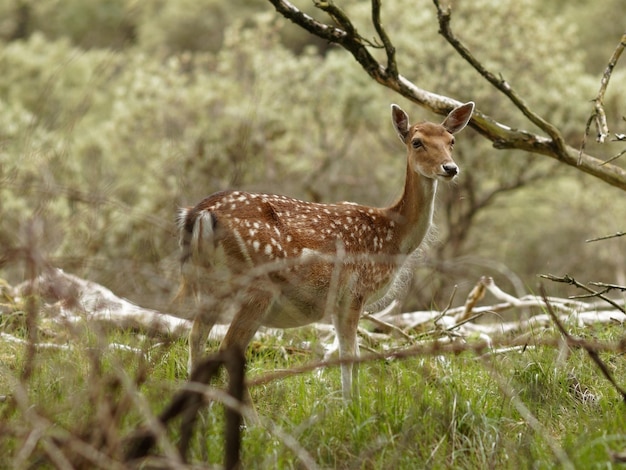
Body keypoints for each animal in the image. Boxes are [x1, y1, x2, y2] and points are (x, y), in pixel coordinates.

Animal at [176, 102, 472, 400]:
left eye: (451, 141)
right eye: (417, 141)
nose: (450, 168)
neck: (392, 238)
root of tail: (199, 214)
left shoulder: (339, 302)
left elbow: (342, 354)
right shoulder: (355, 292)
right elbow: (350, 355)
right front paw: (351, 406)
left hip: (208, 284)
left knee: (195, 337)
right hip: (257, 286)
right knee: (227, 346)